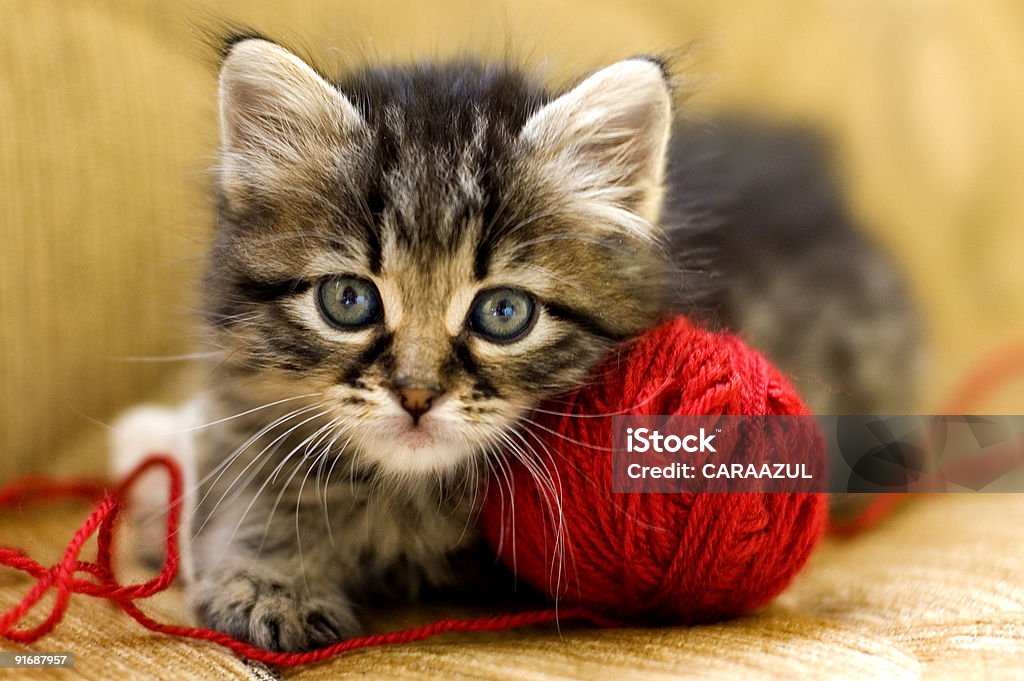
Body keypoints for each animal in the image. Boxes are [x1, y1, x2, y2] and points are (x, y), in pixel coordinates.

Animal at [172, 35, 925, 647]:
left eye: (504, 312)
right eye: (348, 301)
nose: (415, 395)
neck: (402, 496)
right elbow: (248, 482)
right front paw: (267, 578)